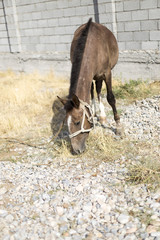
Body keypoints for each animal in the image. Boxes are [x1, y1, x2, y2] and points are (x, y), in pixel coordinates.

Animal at [58, 17, 119, 155]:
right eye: (66, 124)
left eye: (77, 122)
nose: (76, 150)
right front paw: (94, 113)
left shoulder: (107, 73)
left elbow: (110, 98)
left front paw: (119, 127)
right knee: (93, 90)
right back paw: (97, 113)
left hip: (100, 75)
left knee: (98, 90)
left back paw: (102, 116)